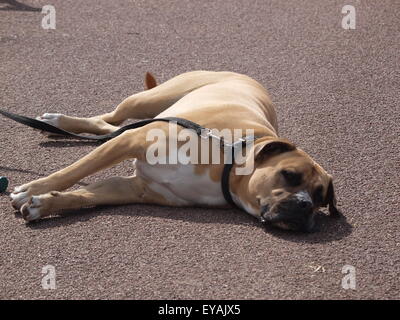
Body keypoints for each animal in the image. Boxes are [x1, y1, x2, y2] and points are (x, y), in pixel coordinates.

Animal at [9, 70, 340, 231]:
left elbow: (83, 195)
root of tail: (246, 76)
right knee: (113, 119)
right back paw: (57, 122)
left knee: (108, 127)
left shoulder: (136, 188)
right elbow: (72, 172)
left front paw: (43, 204)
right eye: (289, 175)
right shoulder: (132, 142)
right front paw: (32, 189)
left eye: (321, 197)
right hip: (144, 101)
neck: (230, 162)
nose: (305, 206)